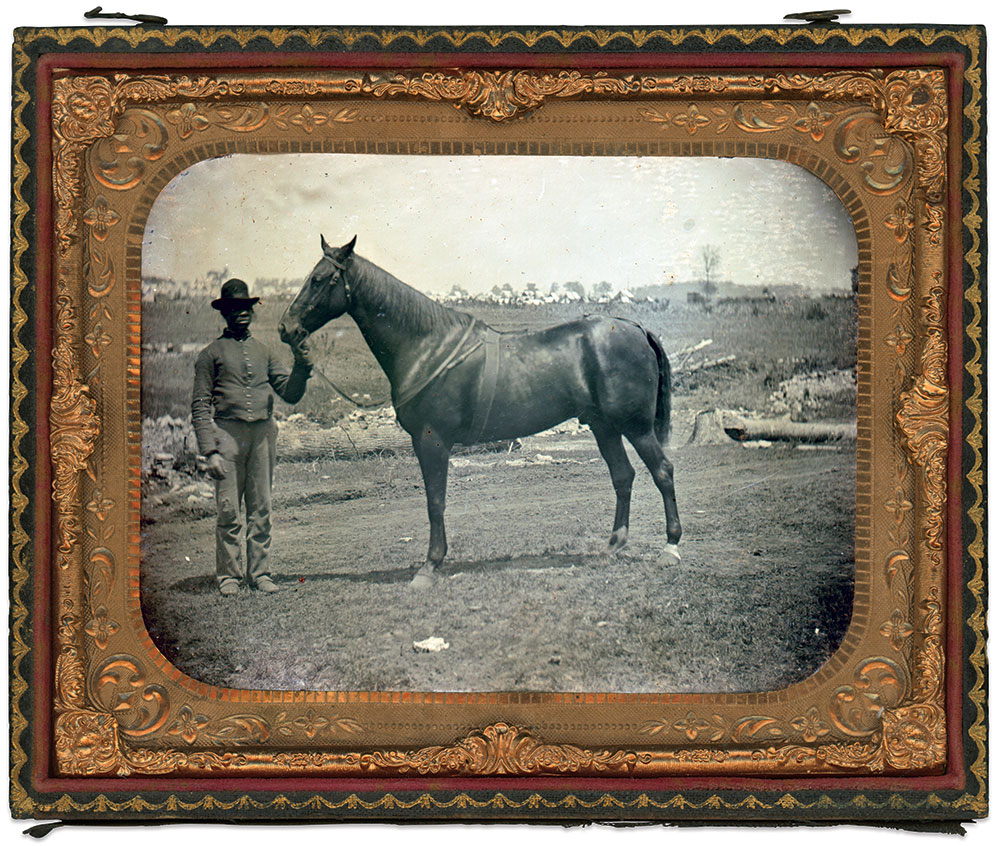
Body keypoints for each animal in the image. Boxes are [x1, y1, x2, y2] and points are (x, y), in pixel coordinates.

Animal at [284, 235, 688, 588]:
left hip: (635, 427)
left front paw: (429, 567)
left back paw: (670, 548)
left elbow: (435, 501)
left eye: (319, 279)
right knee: (623, 476)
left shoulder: (431, 441)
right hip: (604, 427)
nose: (286, 328)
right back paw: (613, 545)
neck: (428, 346)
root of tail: (635, 327)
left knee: (663, 471)